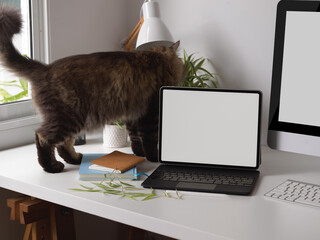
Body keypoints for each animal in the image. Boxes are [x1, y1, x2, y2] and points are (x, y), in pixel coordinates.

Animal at [0, 5, 185, 172]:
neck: (158, 58)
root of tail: (45, 68)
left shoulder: (133, 114)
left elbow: (135, 138)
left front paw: (139, 154)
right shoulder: (150, 112)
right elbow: (150, 140)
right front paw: (153, 158)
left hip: (74, 119)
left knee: (64, 143)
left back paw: (74, 159)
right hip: (67, 117)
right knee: (43, 137)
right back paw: (52, 167)